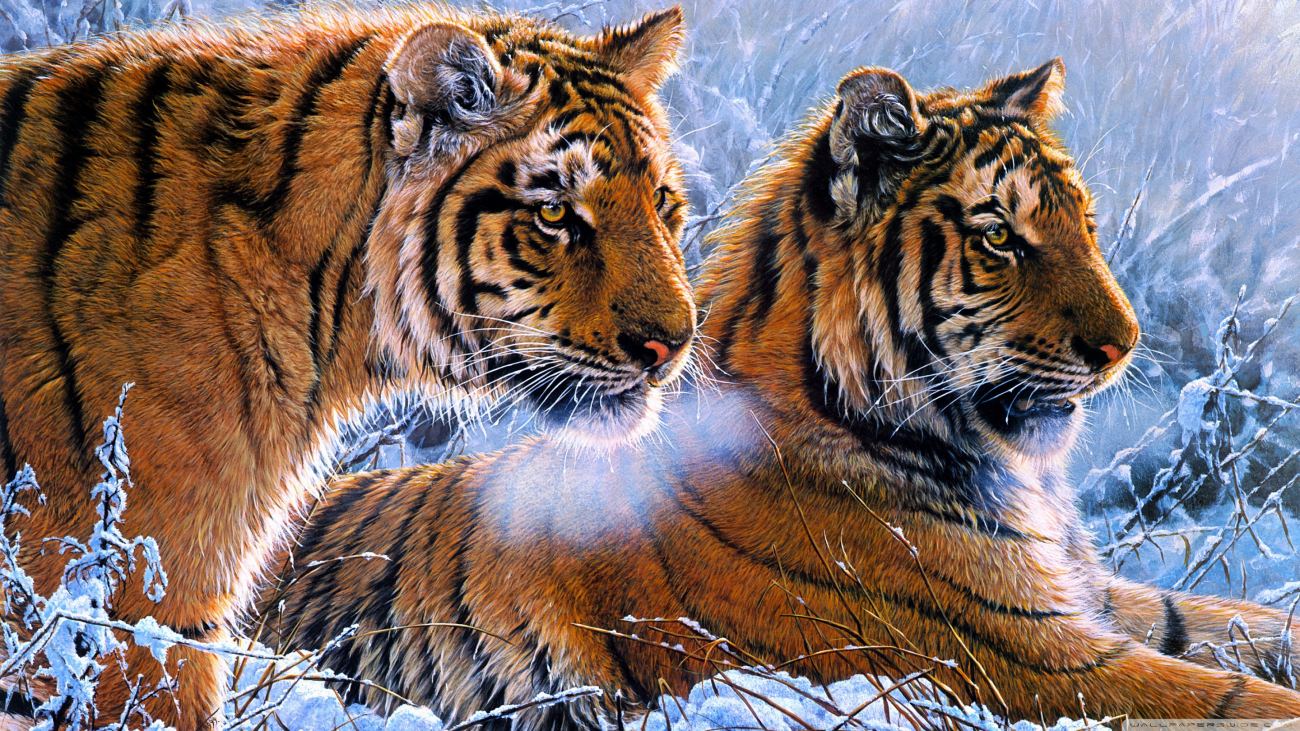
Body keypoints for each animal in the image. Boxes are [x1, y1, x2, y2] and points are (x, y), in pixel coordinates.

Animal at [263, 58, 1300, 729]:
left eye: (1083, 222)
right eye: (1001, 235)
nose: (1123, 346)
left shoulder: (1087, 597)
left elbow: (1245, 624)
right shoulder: (1022, 654)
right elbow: (1233, 698)